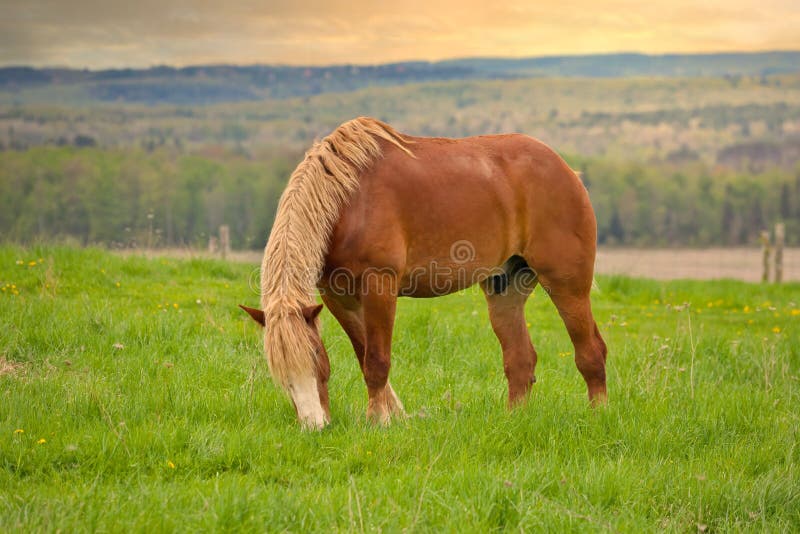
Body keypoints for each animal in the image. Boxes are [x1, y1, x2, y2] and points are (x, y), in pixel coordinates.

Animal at [241, 117, 608, 432]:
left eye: (313, 357)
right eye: (279, 371)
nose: (315, 426)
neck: (349, 199)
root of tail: (567, 171)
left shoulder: (379, 286)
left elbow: (376, 361)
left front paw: (379, 421)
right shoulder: (336, 296)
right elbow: (362, 355)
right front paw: (394, 416)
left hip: (566, 284)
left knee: (591, 352)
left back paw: (598, 418)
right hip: (506, 289)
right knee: (520, 361)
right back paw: (513, 421)